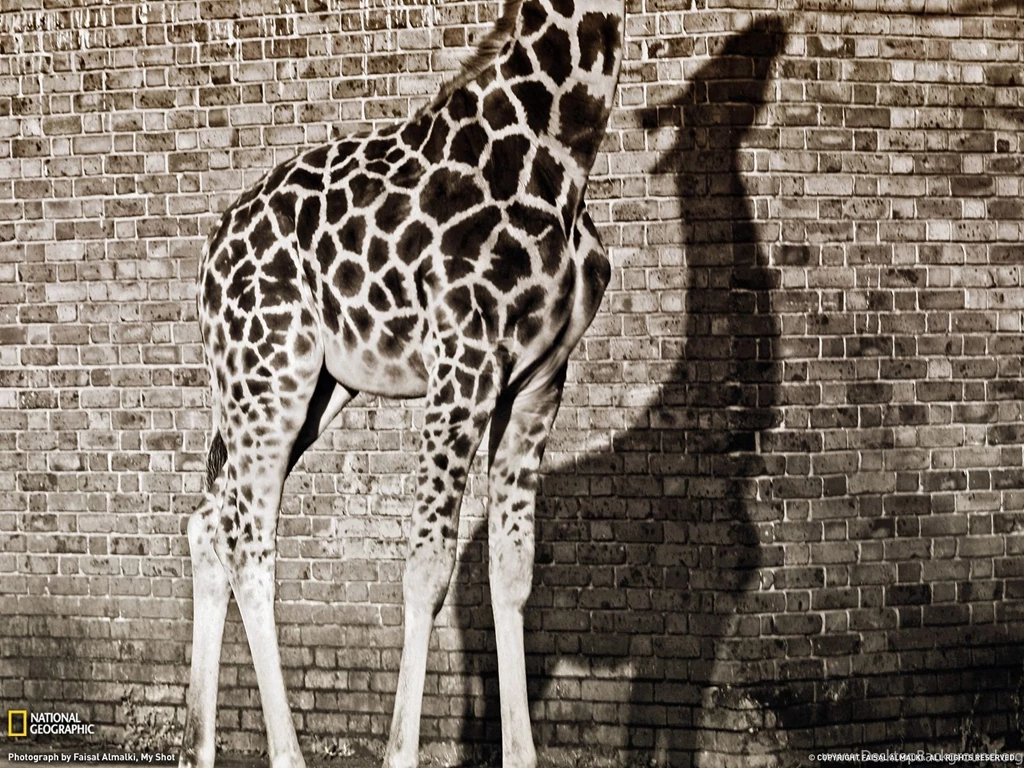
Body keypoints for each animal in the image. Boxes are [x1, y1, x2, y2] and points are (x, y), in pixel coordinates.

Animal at [179, 1, 625, 767]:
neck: (562, 146)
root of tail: (210, 254)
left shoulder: (539, 380)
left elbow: (512, 571)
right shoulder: (463, 365)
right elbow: (426, 570)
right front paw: (399, 752)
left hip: (307, 391)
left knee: (209, 521)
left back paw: (197, 749)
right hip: (269, 374)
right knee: (246, 542)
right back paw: (286, 754)